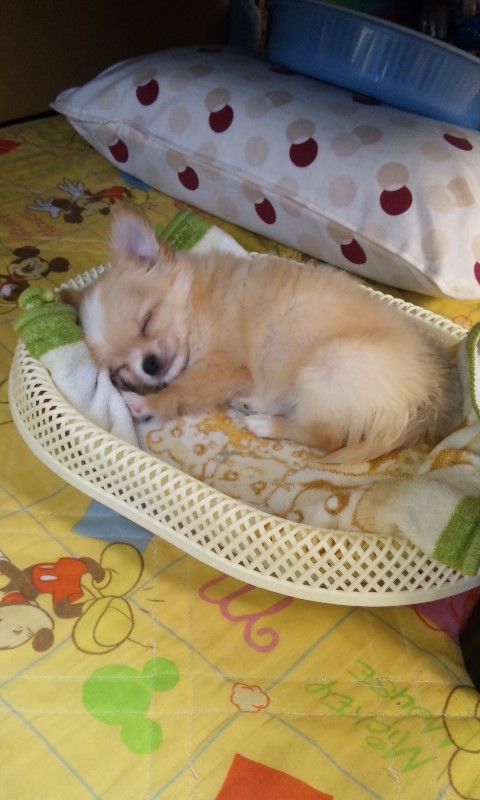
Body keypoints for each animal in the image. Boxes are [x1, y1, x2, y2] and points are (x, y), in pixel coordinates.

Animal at [64, 204, 456, 463]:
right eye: (117, 368)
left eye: (148, 320)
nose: (149, 364)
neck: (195, 304)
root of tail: (426, 400)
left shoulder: (220, 366)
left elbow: (181, 390)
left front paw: (145, 404)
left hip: (327, 367)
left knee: (325, 438)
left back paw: (266, 424)